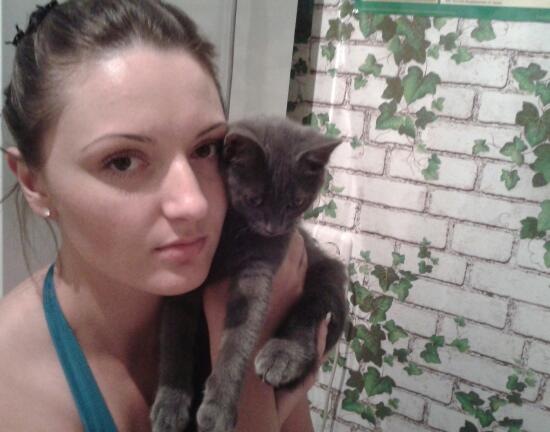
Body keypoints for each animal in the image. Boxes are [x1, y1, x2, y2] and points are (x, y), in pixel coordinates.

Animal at [151, 116, 348, 432]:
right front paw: (170, 405)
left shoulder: (259, 267)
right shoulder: (182, 280)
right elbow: (174, 340)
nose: (274, 227)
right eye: (254, 200)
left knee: (311, 309)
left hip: (326, 272)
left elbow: (240, 336)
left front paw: (218, 408)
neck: (232, 229)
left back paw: (282, 355)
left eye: (296, 202)